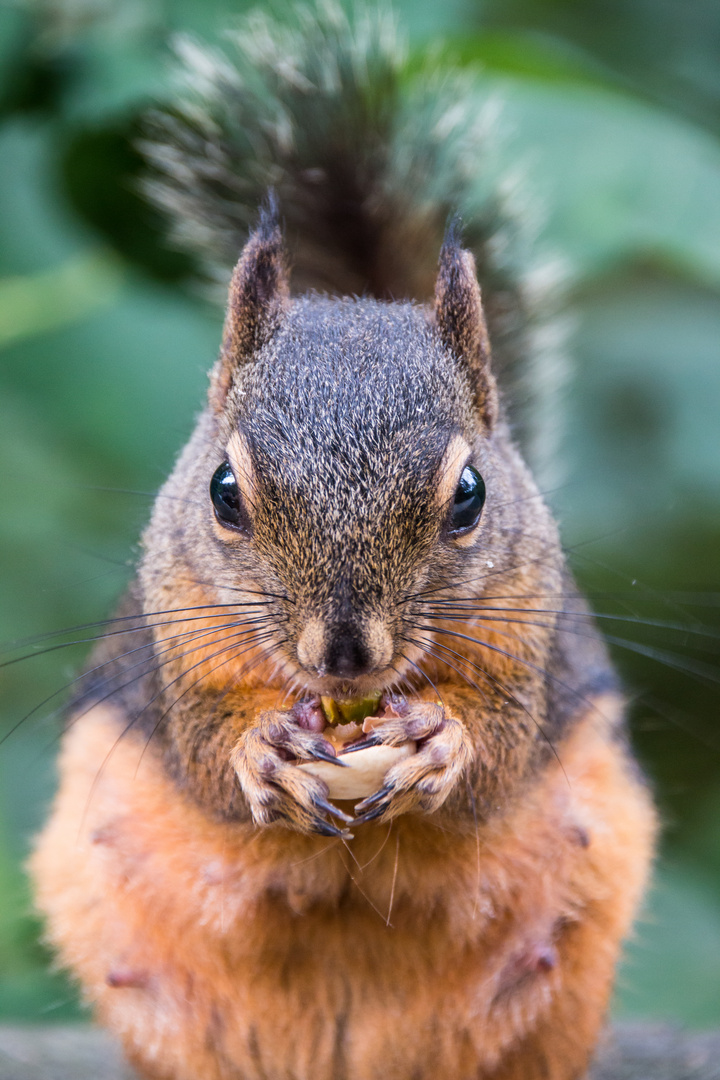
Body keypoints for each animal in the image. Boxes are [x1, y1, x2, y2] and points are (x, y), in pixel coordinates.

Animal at [31, 4, 656, 1075]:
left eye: (470, 497)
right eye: (224, 492)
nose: (344, 653)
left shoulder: (532, 646)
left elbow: (501, 749)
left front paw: (441, 741)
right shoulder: (171, 649)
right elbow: (203, 753)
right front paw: (260, 754)